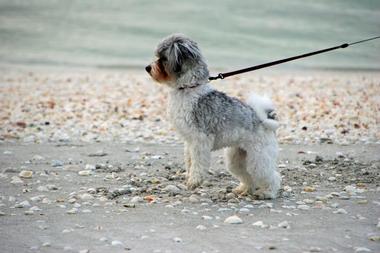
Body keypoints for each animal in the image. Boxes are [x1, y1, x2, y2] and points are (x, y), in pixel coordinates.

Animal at [146, 33, 282, 200]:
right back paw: (243, 189)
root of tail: (264, 120)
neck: (188, 88)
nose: (147, 68)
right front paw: (190, 176)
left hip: (259, 157)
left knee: (272, 176)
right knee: (248, 176)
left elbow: (198, 163)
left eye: (163, 58)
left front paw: (195, 181)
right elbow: (190, 161)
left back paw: (268, 192)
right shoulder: (189, 142)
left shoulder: (200, 140)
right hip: (236, 158)